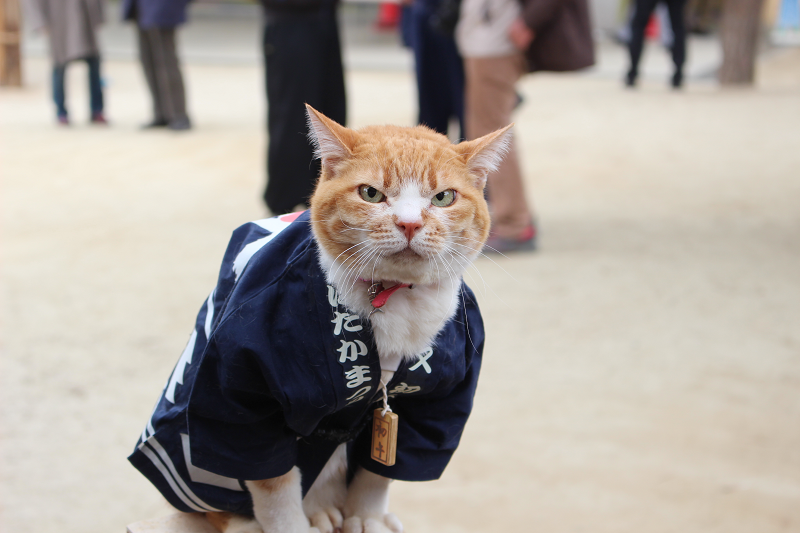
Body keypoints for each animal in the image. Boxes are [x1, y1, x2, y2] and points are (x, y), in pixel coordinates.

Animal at [128, 104, 510, 532]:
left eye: (444, 197)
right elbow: (272, 483)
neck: (391, 297)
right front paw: (289, 526)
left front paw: (366, 516)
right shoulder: (240, 395)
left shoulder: (436, 401)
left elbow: (381, 469)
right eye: (371, 193)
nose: (410, 223)